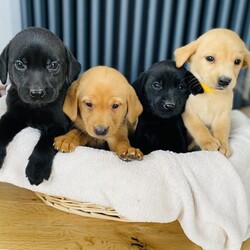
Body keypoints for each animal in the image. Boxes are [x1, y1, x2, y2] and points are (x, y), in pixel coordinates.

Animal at [0, 27, 81, 186]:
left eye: (53, 65)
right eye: (20, 64)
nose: (37, 93)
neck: (35, 108)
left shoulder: (58, 125)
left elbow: (44, 143)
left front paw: (36, 169)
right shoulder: (12, 116)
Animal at [175, 28, 250, 156]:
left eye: (237, 61)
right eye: (210, 58)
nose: (225, 80)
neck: (210, 93)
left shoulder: (223, 116)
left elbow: (221, 131)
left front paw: (224, 145)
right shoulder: (188, 113)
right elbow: (199, 127)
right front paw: (208, 141)